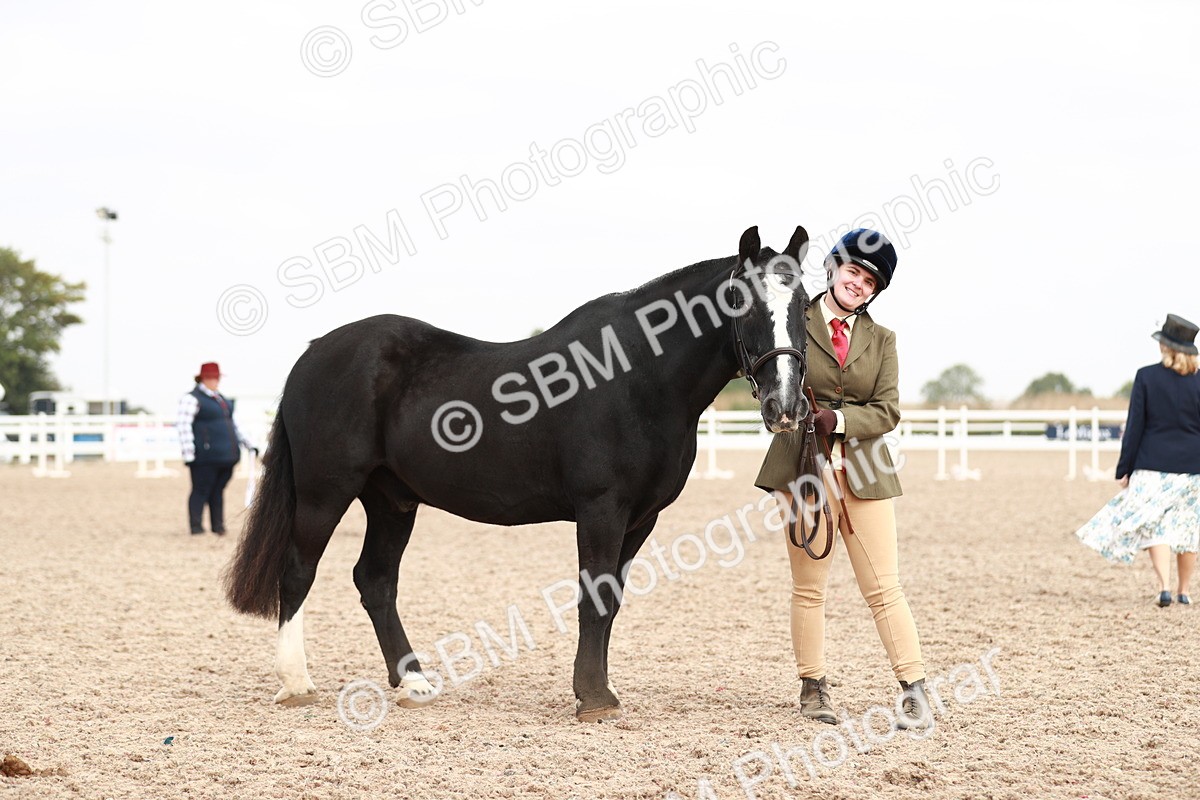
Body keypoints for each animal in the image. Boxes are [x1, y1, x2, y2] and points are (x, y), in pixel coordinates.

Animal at [223, 224, 814, 722]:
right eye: (742, 301)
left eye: (804, 304)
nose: (785, 406)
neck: (636, 375)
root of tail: (314, 353)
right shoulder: (601, 507)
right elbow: (594, 596)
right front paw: (592, 698)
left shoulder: (640, 518)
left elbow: (611, 601)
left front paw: (598, 689)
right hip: (325, 492)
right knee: (298, 571)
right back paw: (297, 683)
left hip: (391, 500)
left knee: (375, 580)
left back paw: (414, 682)